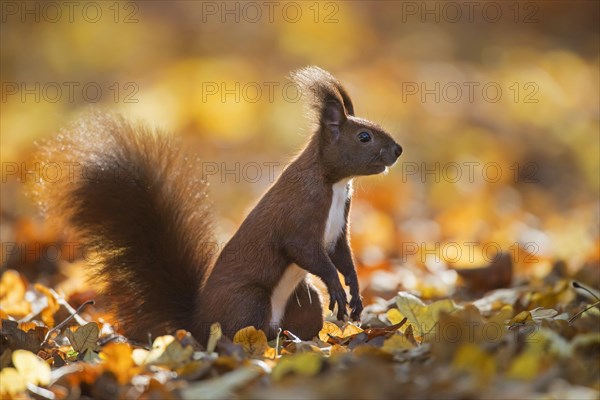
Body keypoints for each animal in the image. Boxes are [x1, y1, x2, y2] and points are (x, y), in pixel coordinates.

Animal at [37, 67, 404, 346]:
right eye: (364, 137)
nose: (398, 150)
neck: (334, 182)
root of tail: (198, 323)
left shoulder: (338, 228)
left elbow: (343, 256)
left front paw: (354, 293)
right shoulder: (300, 214)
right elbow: (307, 252)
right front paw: (338, 290)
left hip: (304, 301)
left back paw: (301, 340)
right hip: (249, 300)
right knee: (243, 330)